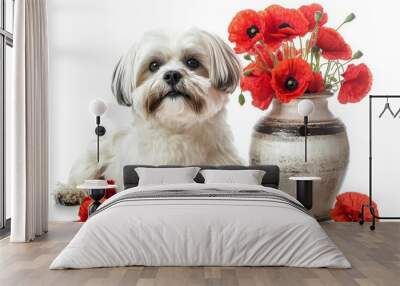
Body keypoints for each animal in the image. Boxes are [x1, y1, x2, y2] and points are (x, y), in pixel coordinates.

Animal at [61, 28, 242, 190]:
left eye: (192, 62)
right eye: (154, 65)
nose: (172, 75)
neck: (178, 131)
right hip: (94, 158)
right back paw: (68, 192)